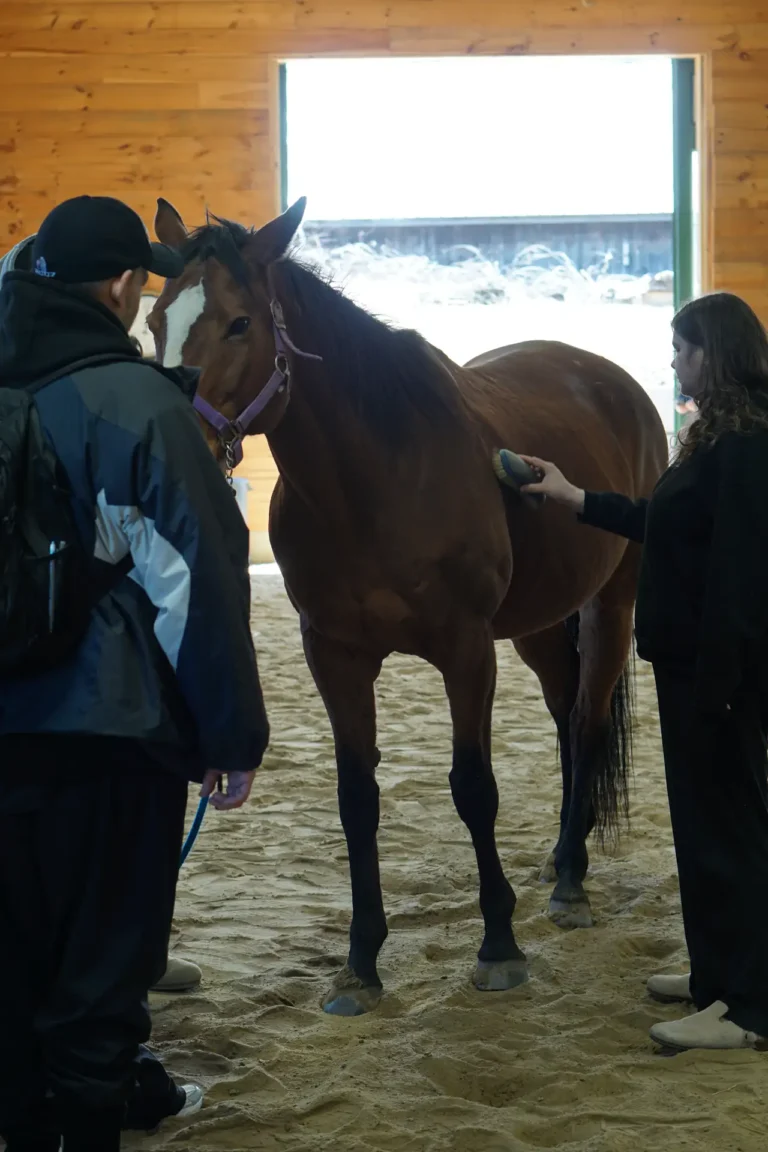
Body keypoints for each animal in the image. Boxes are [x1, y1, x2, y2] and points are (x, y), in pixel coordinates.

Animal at [149, 197, 668, 1017]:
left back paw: (571, 883)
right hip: (538, 626)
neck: (377, 477)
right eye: (154, 319)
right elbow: (356, 798)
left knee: (587, 725)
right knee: (563, 716)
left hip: (608, 607)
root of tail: (611, 380)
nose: (176, 437)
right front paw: (360, 962)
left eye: (239, 323)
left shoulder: (466, 649)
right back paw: (563, 858)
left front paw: (499, 945)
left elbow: (474, 787)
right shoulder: (334, 654)